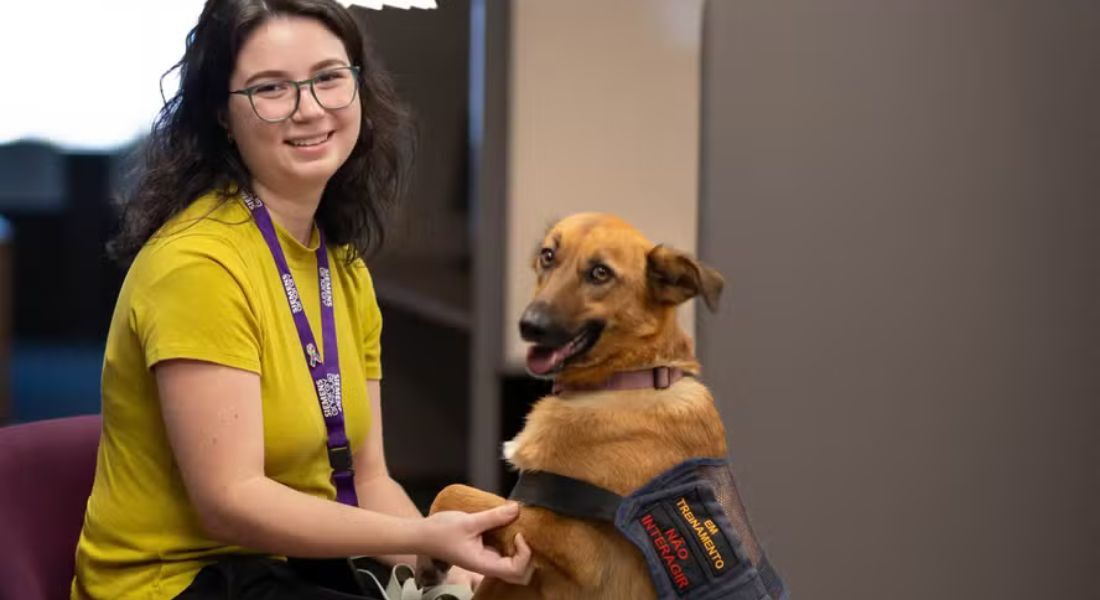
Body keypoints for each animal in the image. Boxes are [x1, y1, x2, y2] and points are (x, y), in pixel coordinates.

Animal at [429, 212, 774, 594]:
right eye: (548, 255)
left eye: (600, 273)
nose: (529, 325)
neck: (630, 377)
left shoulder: (581, 549)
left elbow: (453, 491)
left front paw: (434, 557)